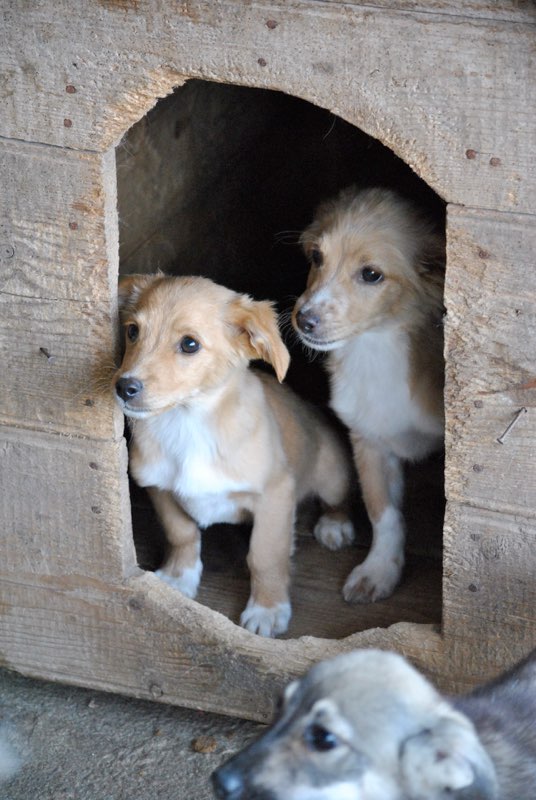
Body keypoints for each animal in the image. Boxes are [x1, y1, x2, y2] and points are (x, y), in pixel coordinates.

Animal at [115, 276, 354, 636]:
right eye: (132, 331)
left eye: (189, 344)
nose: (124, 387)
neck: (188, 424)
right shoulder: (158, 487)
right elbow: (180, 533)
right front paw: (178, 578)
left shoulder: (275, 495)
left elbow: (265, 556)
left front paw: (268, 608)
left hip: (332, 474)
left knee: (337, 501)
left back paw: (334, 526)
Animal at [294, 188, 444, 600]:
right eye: (317, 257)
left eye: (371, 274)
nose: (303, 320)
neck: (376, 349)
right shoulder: (369, 440)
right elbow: (384, 514)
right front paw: (379, 570)